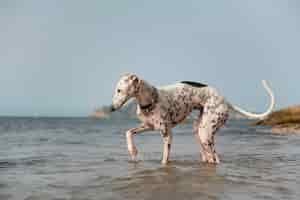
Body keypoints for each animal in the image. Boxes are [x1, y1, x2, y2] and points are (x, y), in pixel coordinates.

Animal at [110, 73, 274, 164]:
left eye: (119, 90)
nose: (111, 108)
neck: (151, 99)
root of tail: (224, 100)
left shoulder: (167, 134)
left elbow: (164, 160)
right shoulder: (148, 126)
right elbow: (128, 132)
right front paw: (132, 151)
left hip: (205, 133)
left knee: (215, 159)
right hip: (199, 130)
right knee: (209, 157)